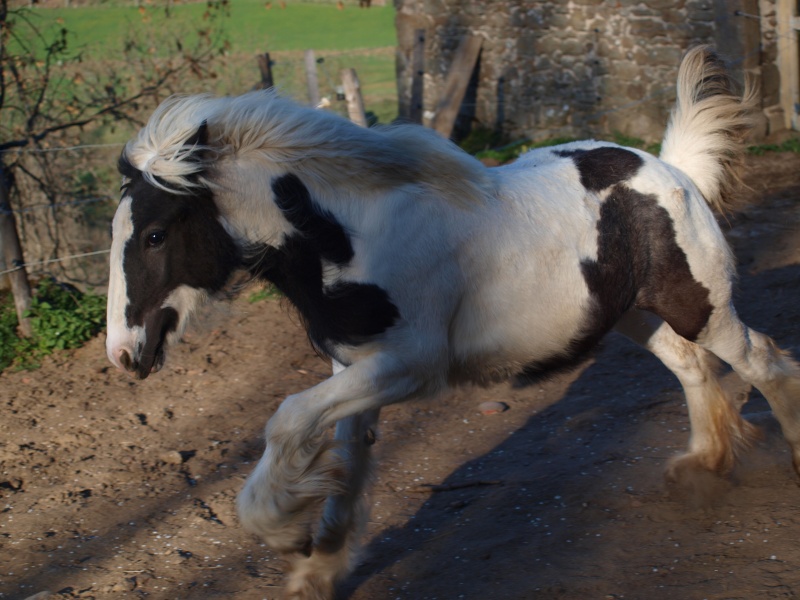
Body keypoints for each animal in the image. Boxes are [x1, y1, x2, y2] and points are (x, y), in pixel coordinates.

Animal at [106, 48, 800, 600]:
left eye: (155, 234)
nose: (122, 355)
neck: (352, 235)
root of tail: (669, 170)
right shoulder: (356, 368)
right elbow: (346, 463)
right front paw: (318, 568)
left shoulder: (412, 366)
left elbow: (287, 417)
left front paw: (280, 526)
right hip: (633, 314)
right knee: (692, 368)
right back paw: (703, 467)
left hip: (700, 306)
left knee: (764, 359)